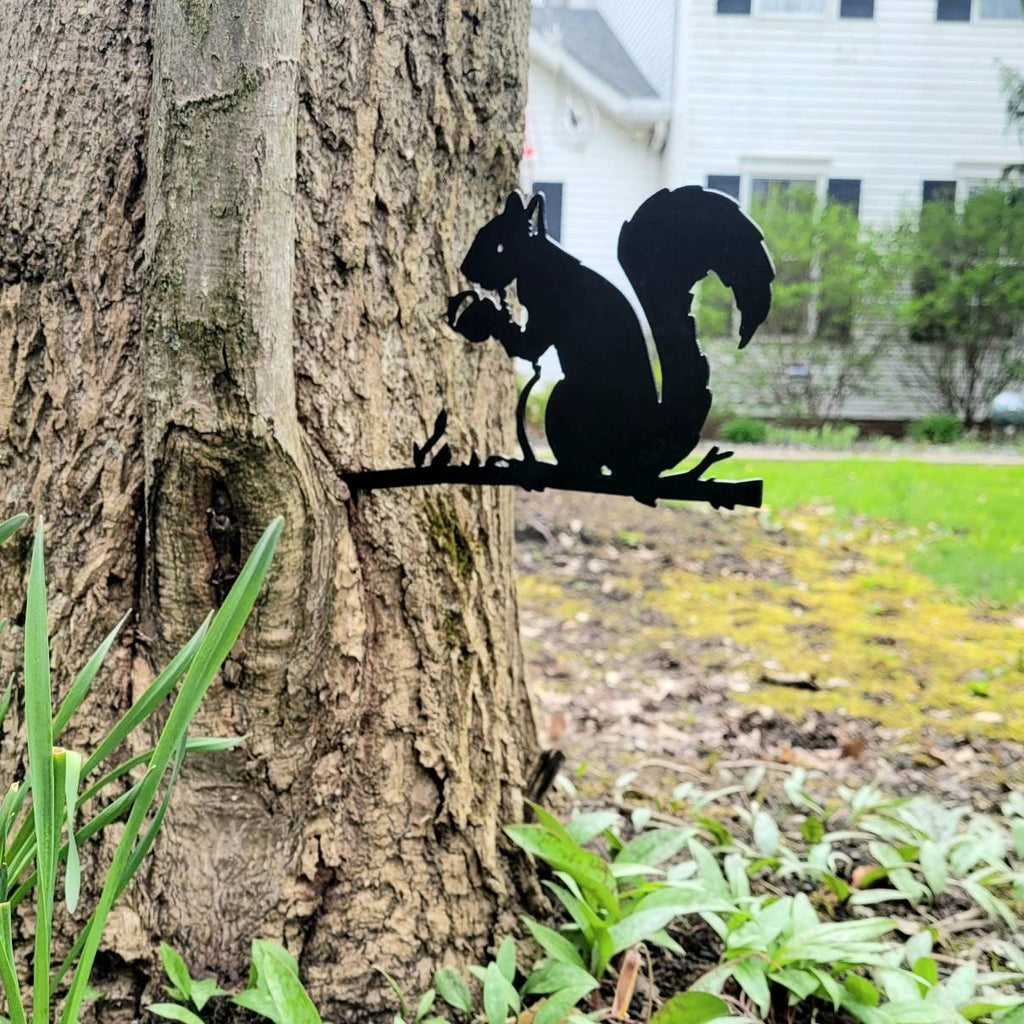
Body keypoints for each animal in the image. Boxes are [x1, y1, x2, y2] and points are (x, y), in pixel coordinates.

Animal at [446, 186, 774, 490]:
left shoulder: (550, 308)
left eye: (500, 247)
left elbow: (529, 347)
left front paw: (484, 312)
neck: (540, 263)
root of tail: (643, 452)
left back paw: (543, 469)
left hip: (567, 400)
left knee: (587, 469)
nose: (464, 268)